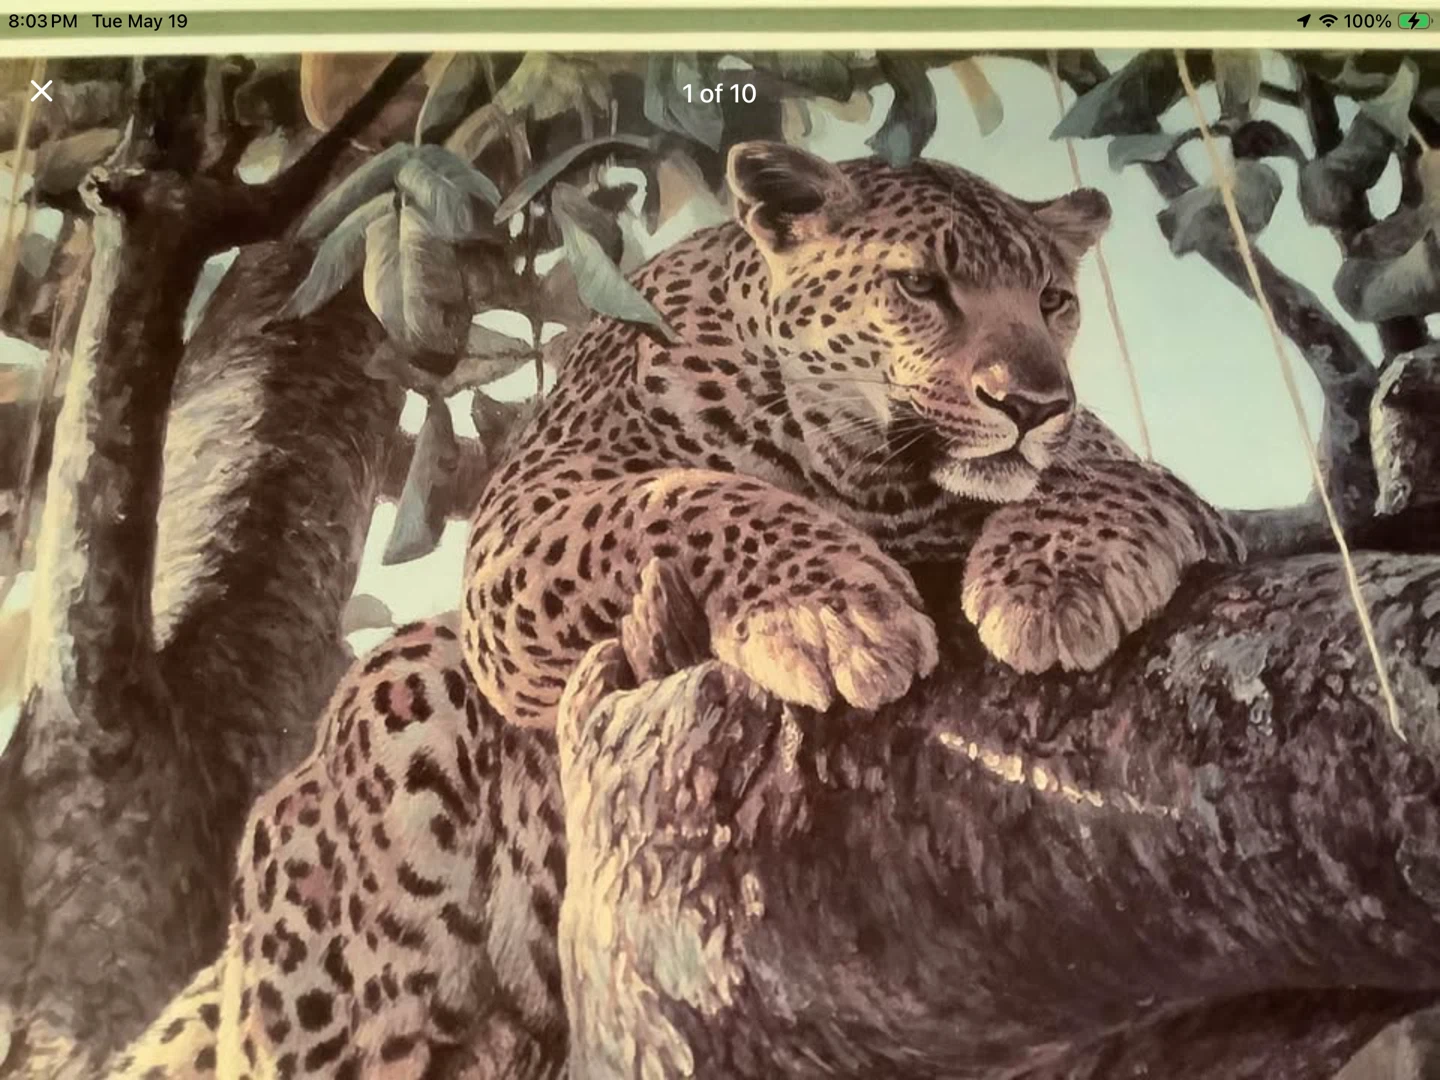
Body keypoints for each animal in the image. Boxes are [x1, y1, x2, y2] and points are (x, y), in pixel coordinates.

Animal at [111, 139, 1241, 1078]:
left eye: (1053, 300)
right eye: (921, 286)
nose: (1036, 402)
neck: (868, 475)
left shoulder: (1145, 481)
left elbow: (1108, 481)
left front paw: (1052, 582)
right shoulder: (526, 522)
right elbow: (672, 500)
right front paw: (830, 611)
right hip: (386, 753)